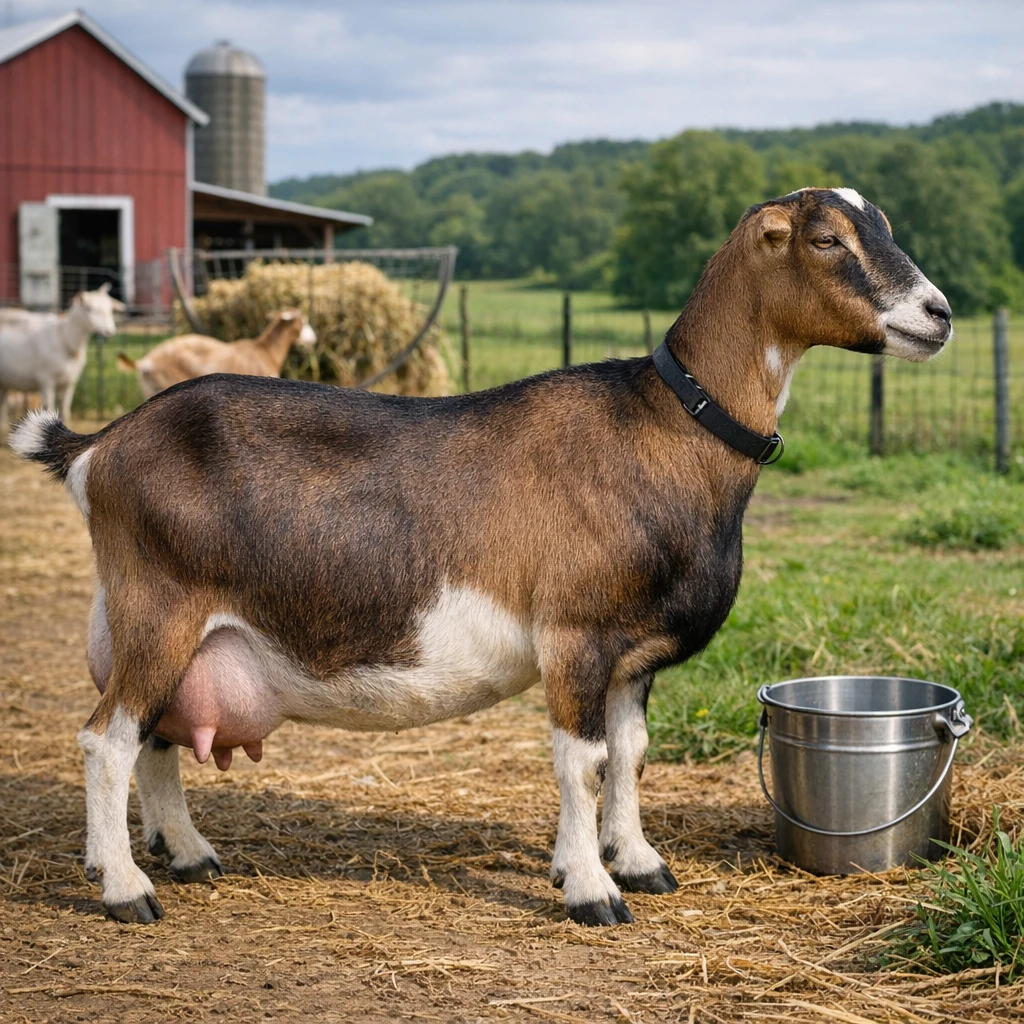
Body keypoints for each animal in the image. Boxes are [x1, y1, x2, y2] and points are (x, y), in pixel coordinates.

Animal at [0, 283, 123, 430]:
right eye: (89, 308)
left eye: (110, 309)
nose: (109, 331)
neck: (64, 337)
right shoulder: (46, 380)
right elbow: (49, 409)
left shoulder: (69, 382)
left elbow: (65, 411)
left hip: (5, 381)